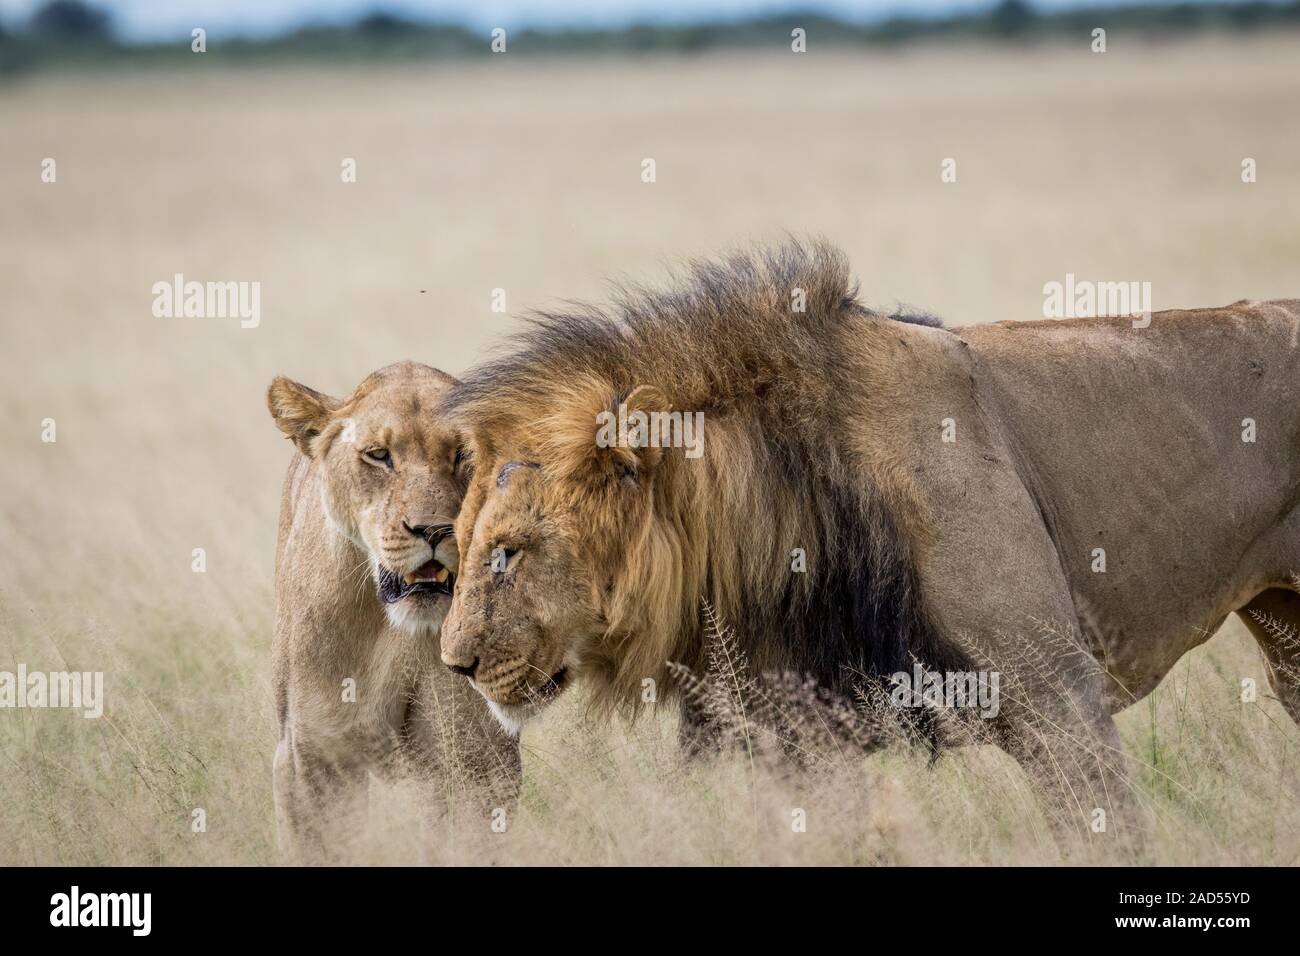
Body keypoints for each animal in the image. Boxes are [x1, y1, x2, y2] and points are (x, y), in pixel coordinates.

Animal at [267, 361, 517, 863]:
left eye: (463, 454)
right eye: (379, 456)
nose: (435, 529)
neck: (397, 630)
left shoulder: (478, 758)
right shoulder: (312, 756)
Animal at [436, 243, 1300, 842]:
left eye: (510, 550)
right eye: (461, 542)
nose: (455, 665)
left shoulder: (1058, 696)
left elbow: (1106, 834)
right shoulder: (801, 742)